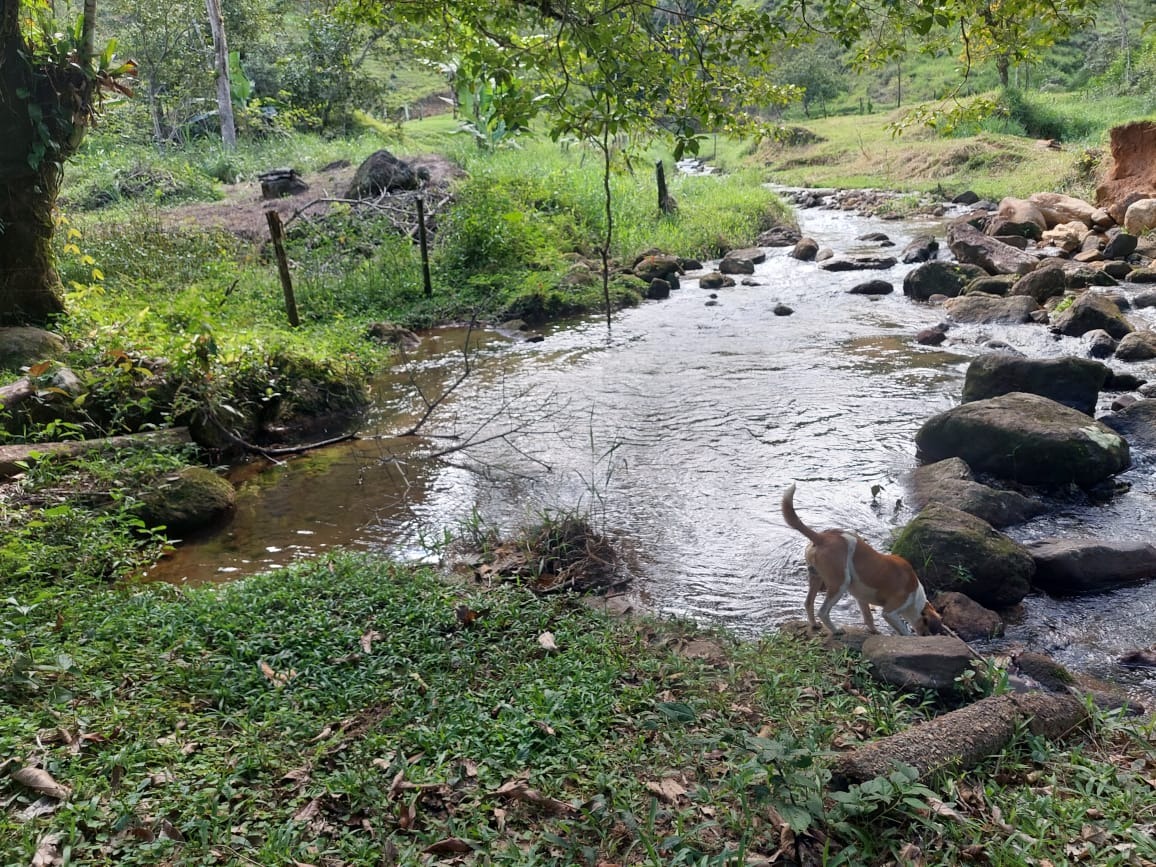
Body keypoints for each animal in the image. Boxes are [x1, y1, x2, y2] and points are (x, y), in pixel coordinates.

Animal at [781, 483, 943, 638]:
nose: (926, 635)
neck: (915, 593)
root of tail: (821, 537)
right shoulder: (890, 612)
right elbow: (903, 630)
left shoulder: (862, 599)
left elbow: (868, 618)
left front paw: (874, 632)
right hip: (840, 583)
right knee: (823, 611)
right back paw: (836, 630)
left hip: (816, 577)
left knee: (808, 603)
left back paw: (814, 624)